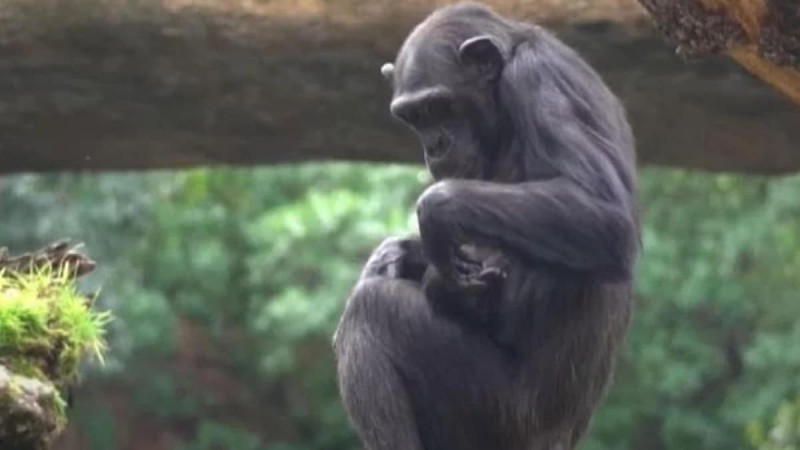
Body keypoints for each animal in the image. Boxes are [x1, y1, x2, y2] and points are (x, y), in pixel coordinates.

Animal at [330, 1, 636, 448]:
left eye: (439, 107)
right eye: (413, 116)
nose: (434, 145)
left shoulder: (538, 79)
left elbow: (603, 213)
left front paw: (435, 211)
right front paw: (395, 254)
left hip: (502, 414)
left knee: (372, 310)